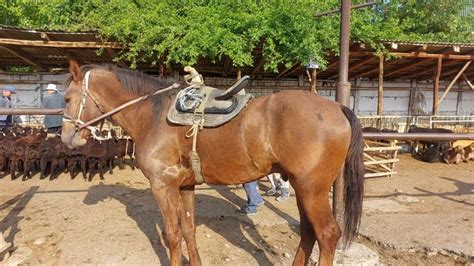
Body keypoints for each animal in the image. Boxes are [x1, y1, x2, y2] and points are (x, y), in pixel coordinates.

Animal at [61, 61, 364, 264]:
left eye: (66, 98)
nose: (66, 137)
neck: (152, 115)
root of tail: (337, 107)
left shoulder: (162, 186)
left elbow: (172, 234)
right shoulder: (185, 186)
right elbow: (188, 229)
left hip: (312, 189)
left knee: (327, 234)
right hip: (304, 189)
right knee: (308, 233)